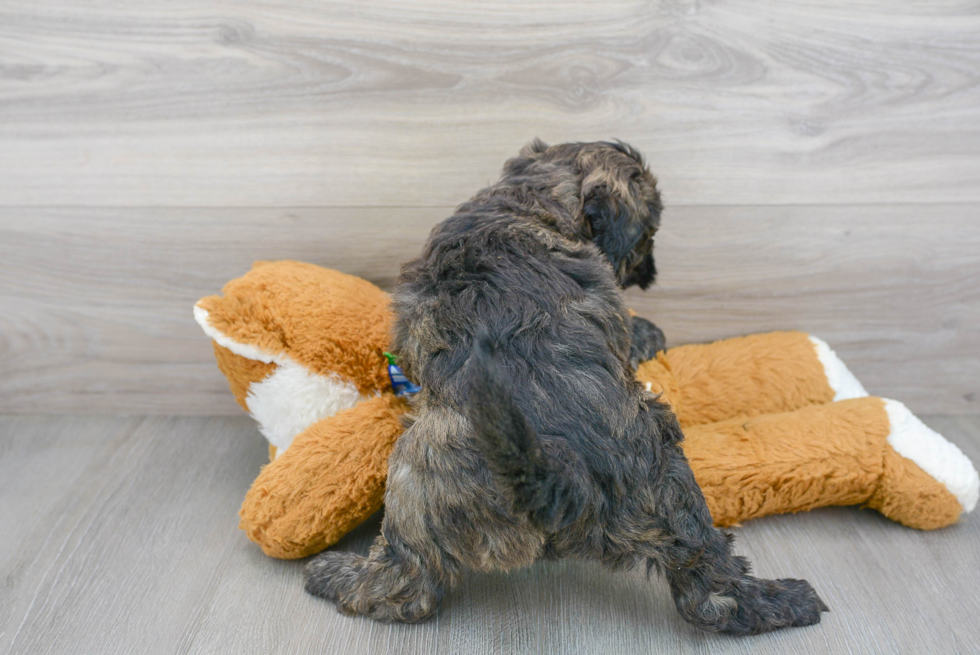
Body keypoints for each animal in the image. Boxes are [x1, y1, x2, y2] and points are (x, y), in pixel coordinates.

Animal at [306, 138, 828, 636]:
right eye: (650, 233)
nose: (650, 273)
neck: (530, 197)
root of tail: (554, 474)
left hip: (415, 481)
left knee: (404, 584)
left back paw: (335, 576)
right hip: (666, 478)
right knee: (710, 580)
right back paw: (783, 600)